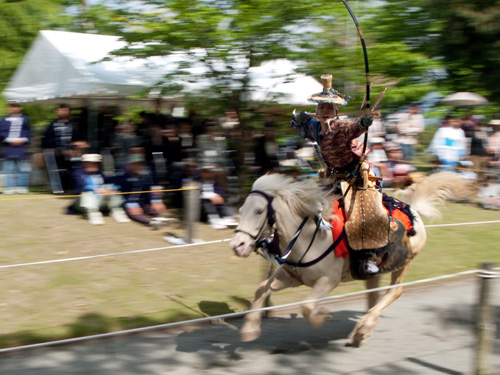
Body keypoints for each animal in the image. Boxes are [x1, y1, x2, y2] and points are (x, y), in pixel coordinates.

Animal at [229, 172, 472, 348]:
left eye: (259, 211)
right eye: (241, 209)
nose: (237, 245)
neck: (309, 236)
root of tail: (414, 211)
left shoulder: (327, 281)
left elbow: (307, 306)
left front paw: (323, 316)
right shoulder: (292, 276)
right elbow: (262, 288)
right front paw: (250, 330)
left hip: (403, 263)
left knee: (394, 292)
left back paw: (363, 329)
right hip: (372, 271)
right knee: (373, 296)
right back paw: (361, 332)